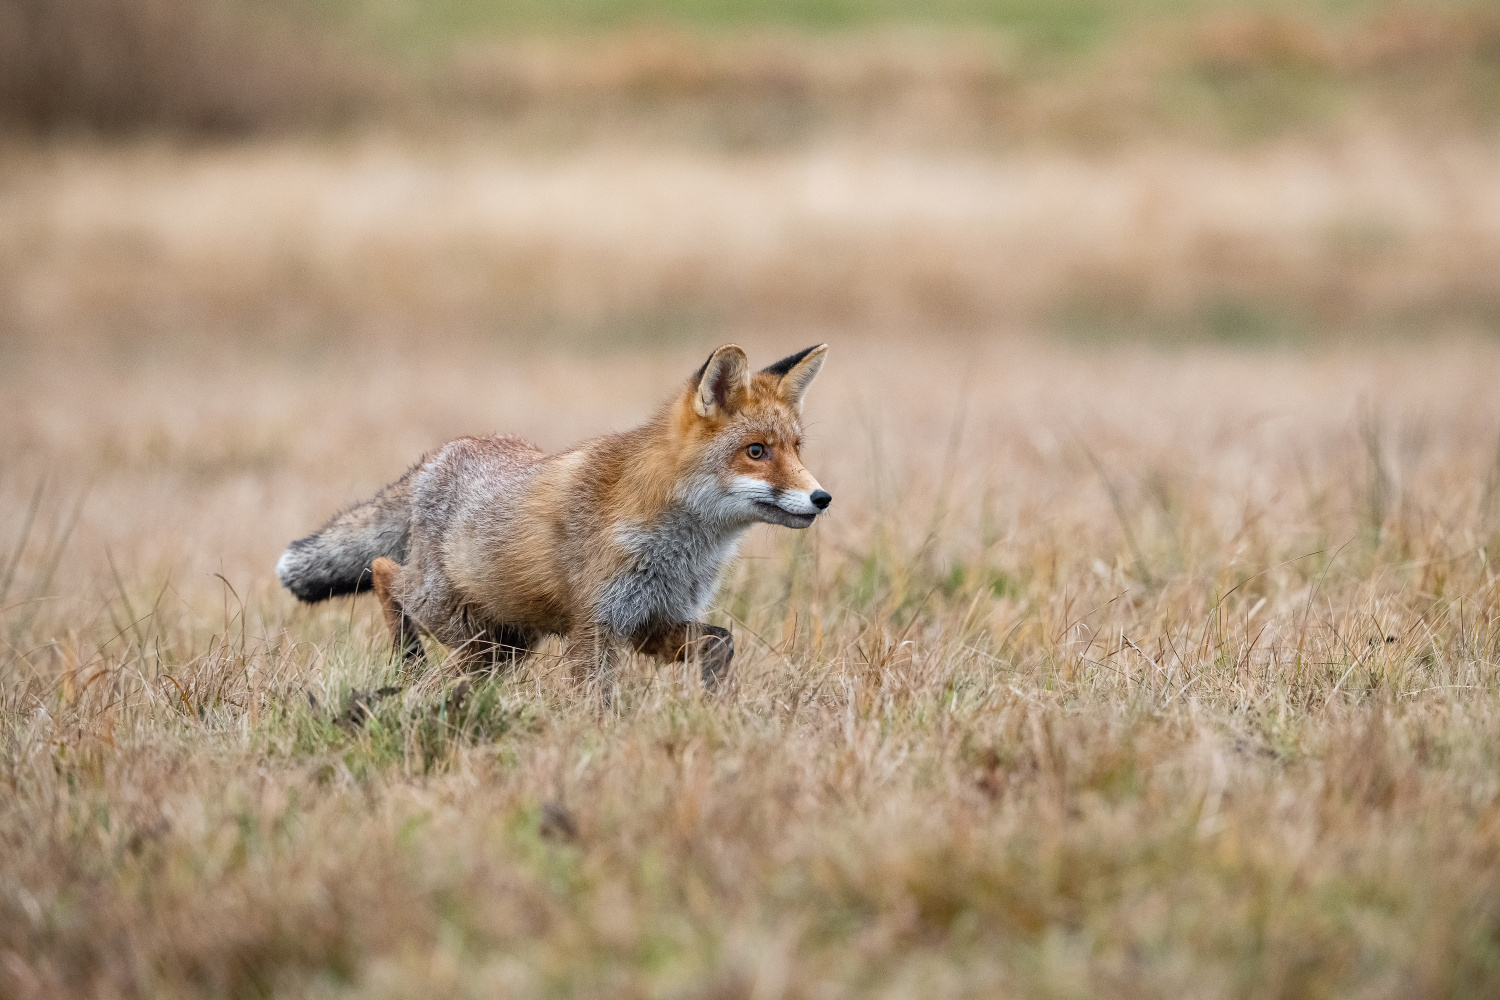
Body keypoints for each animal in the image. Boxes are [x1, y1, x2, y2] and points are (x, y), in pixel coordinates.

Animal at [276, 344, 828, 689]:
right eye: (756, 451)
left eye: (797, 449)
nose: (822, 498)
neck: (683, 550)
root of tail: (441, 455)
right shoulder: (596, 626)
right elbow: (597, 702)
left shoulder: (651, 622)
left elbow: (722, 643)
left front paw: (716, 700)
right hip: (453, 617)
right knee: (383, 572)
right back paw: (406, 664)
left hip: (502, 646)